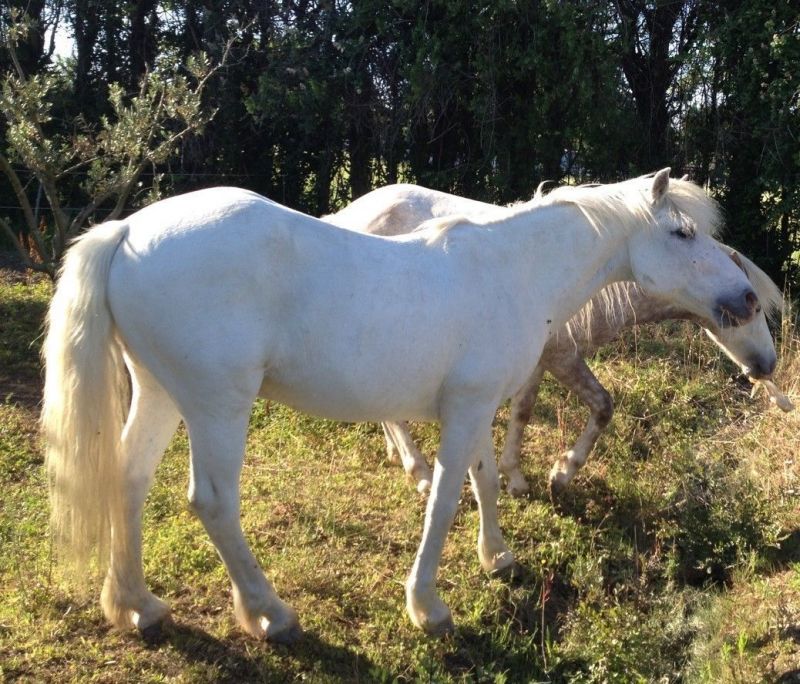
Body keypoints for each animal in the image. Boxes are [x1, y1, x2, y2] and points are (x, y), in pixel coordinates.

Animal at [324, 180, 780, 496]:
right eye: (756, 305)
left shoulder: (539, 360)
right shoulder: (561, 357)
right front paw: (558, 474)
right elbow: (601, 406)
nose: (768, 364)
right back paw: (417, 470)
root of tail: (344, 217)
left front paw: (516, 474)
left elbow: (524, 410)